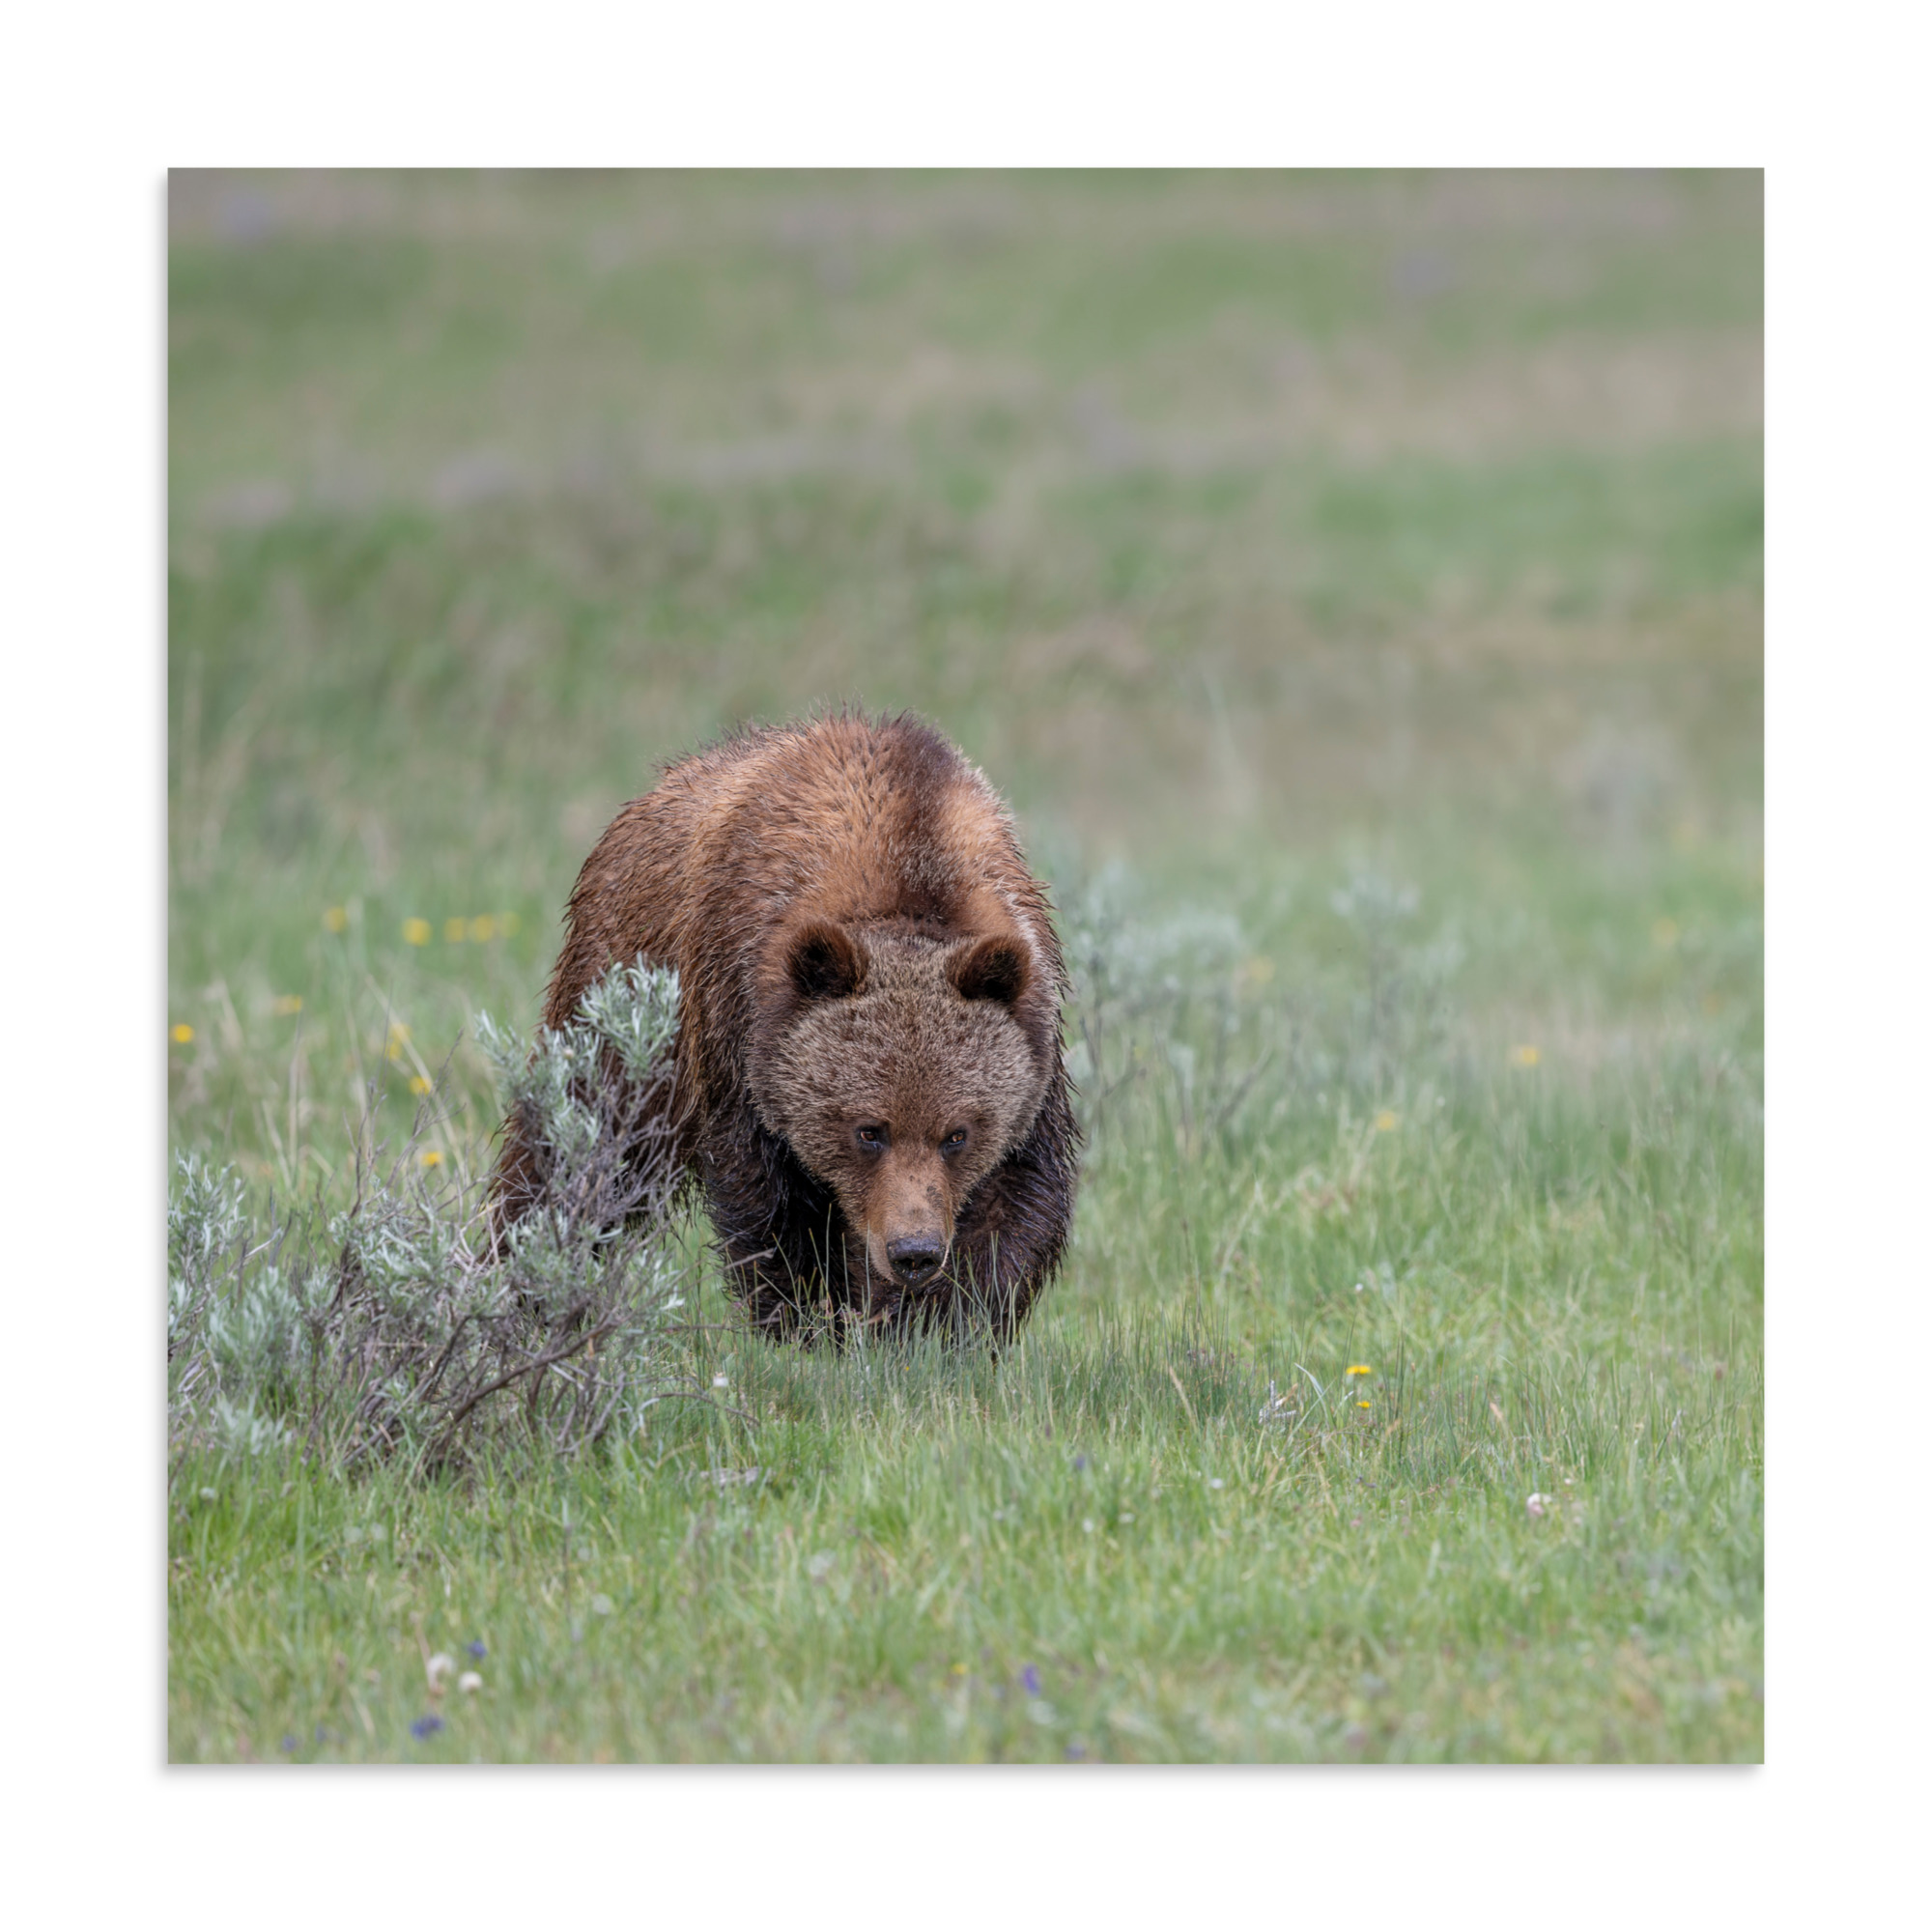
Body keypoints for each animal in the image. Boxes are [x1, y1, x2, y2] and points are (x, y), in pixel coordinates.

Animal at [491, 712, 1081, 1343]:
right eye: (868, 1130)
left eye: (957, 1134)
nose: (914, 1252)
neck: (908, 864)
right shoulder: (739, 1026)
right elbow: (771, 1206)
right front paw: (810, 1322)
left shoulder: (1033, 1043)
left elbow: (1014, 1203)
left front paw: (933, 1327)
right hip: (623, 998)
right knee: (577, 1144)